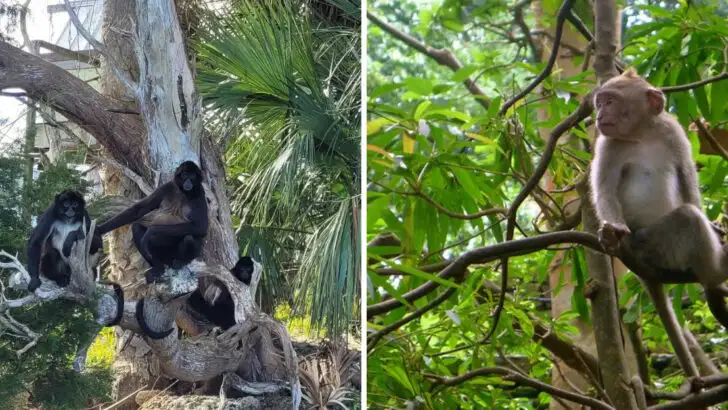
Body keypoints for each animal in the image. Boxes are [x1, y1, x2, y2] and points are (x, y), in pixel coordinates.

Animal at [590, 67, 728, 378]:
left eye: (610, 101)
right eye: (600, 102)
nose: (599, 115)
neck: (642, 134)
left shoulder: (672, 132)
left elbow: (687, 179)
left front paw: (714, 225)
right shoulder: (607, 144)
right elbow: (604, 190)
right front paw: (611, 233)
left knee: (690, 213)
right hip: (650, 244)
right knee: (687, 220)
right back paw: (717, 275)